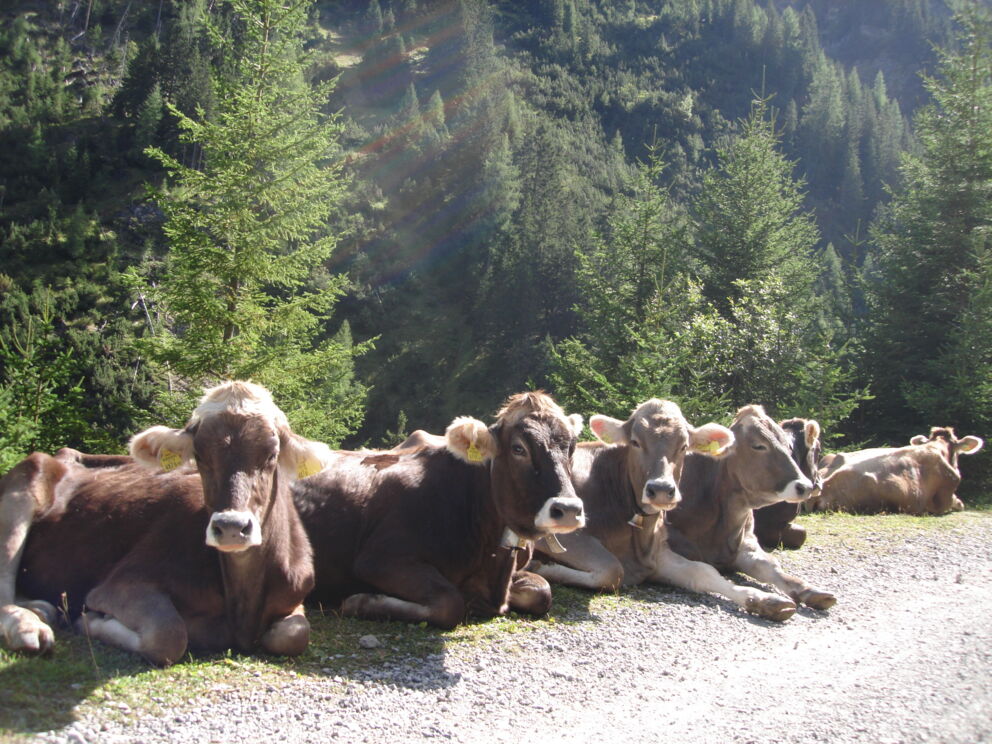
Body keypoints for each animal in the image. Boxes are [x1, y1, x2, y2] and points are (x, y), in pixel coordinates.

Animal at [0, 381, 327, 665]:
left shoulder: (294, 595)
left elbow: (295, 633)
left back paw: (41, 608)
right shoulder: (122, 583)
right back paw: (29, 629)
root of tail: (65, 454)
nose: (231, 527)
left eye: (271, 455)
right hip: (22, 489)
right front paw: (90, 620)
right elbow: (167, 635)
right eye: (199, 455)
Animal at [291, 391, 586, 629]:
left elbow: (542, 592)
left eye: (571, 449)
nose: (568, 509)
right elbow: (449, 603)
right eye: (518, 448)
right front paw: (360, 601)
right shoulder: (379, 559)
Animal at [529, 399, 805, 621]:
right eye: (635, 442)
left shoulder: (658, 554)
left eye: (684, 445)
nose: (661, 489)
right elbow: (612, 570)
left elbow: (704, 571)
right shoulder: (563, 534)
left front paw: (764, 600)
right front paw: (542, 567)